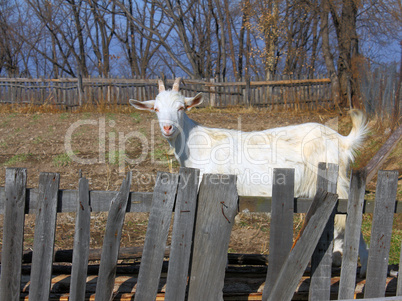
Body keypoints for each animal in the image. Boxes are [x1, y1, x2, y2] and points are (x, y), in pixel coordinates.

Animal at [130, 77, 370, 274]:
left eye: (181, 107)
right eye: (156, 109)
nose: (167, 128)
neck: (195, 144)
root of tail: (343, 141)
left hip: (336, 182)